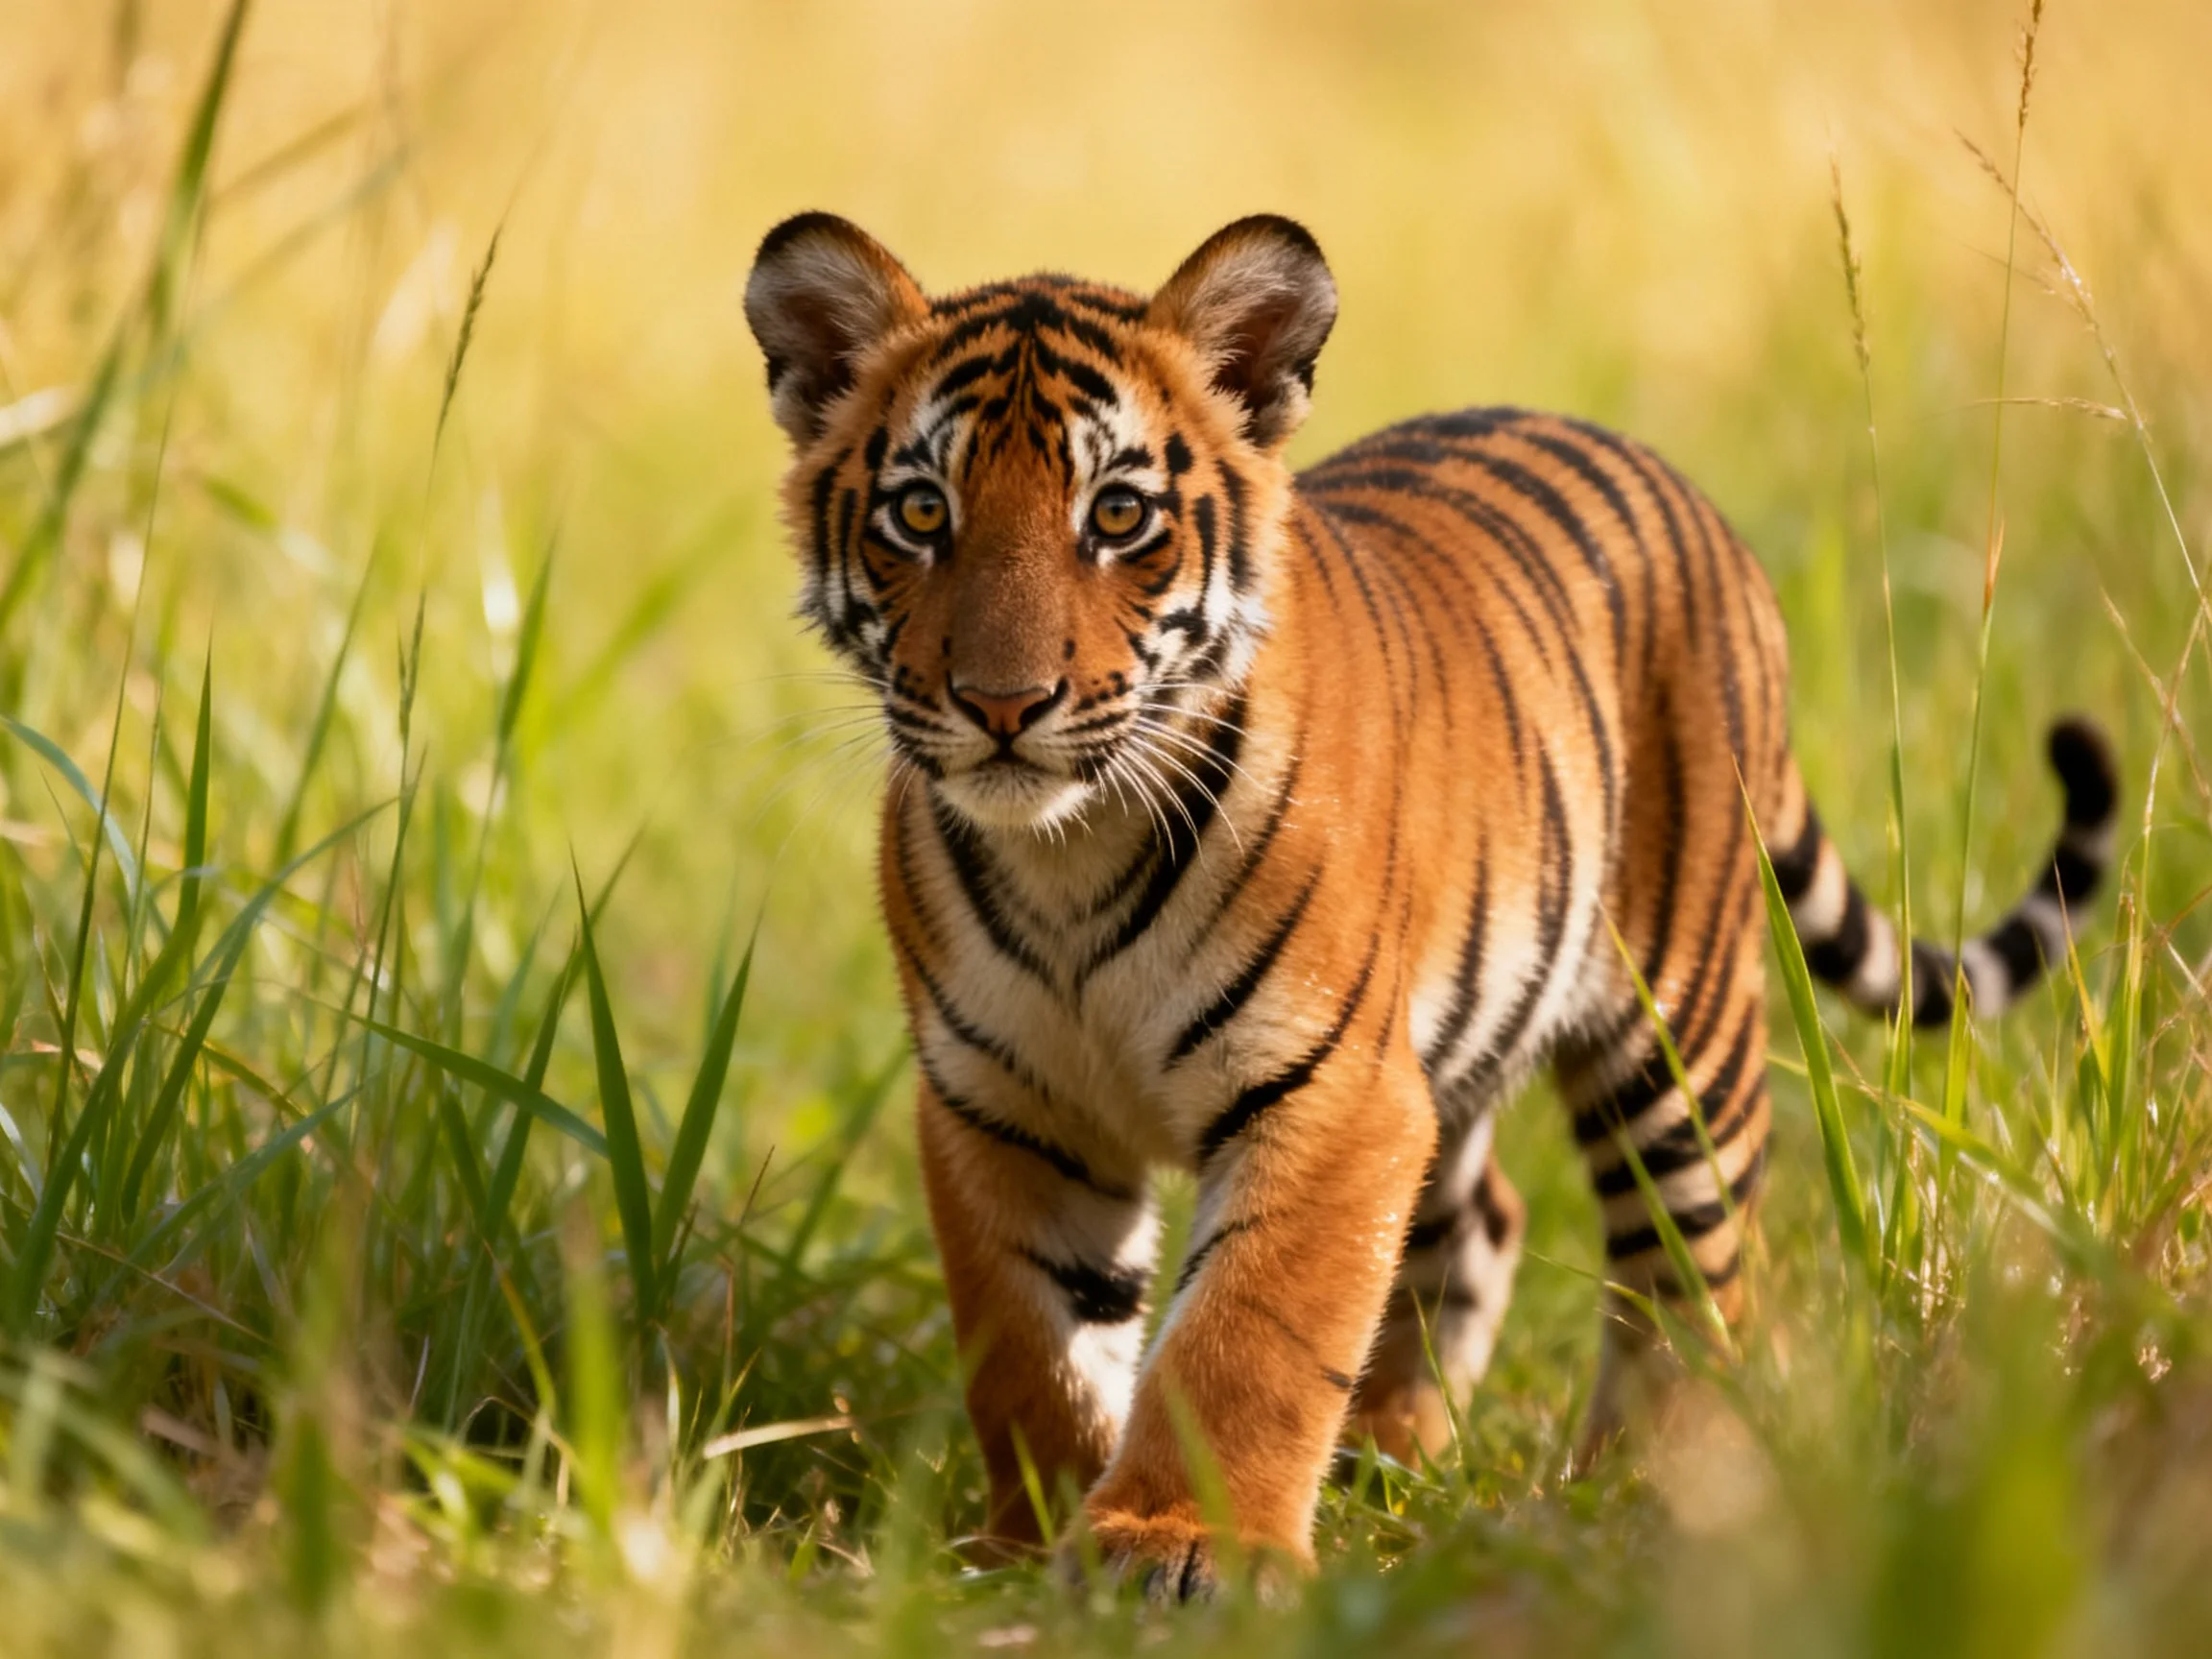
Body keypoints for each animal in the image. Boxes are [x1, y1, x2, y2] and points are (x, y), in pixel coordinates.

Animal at [742, 212, 2118, 1599]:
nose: (1003, 703)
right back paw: (1392, 1457)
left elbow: (1249, 1331)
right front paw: (1029, 1542)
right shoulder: (1002, 1105)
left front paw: (1177, 1541)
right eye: (922, 512)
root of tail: (1677, 489)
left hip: (1680, 1032)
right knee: (1482, 1227)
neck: (1068, 853)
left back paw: (1645, 1491)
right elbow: (1032, 1346)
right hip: (1453, 1047)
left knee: (1702, 1273)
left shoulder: (1327, 1091)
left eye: (1118, 515)